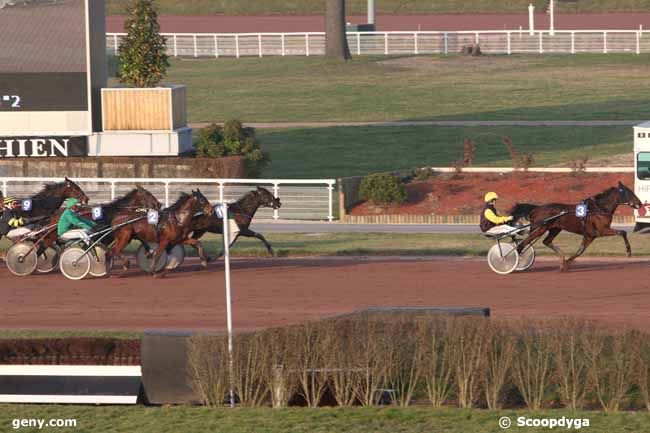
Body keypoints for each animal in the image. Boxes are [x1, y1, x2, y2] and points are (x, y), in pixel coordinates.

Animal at [512, 181, 644, 270]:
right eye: (629, 193)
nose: (640, 203)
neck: (599, 208)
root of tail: (536, 209)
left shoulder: (591, 235)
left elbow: (580, 251)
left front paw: (565, 264)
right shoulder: (602, 230)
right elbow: (622, 232)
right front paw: (628, 251)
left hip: (555, 228)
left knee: (546, 241)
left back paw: (561, 257)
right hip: (540, 228)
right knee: (523, 243)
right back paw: (516, 259)